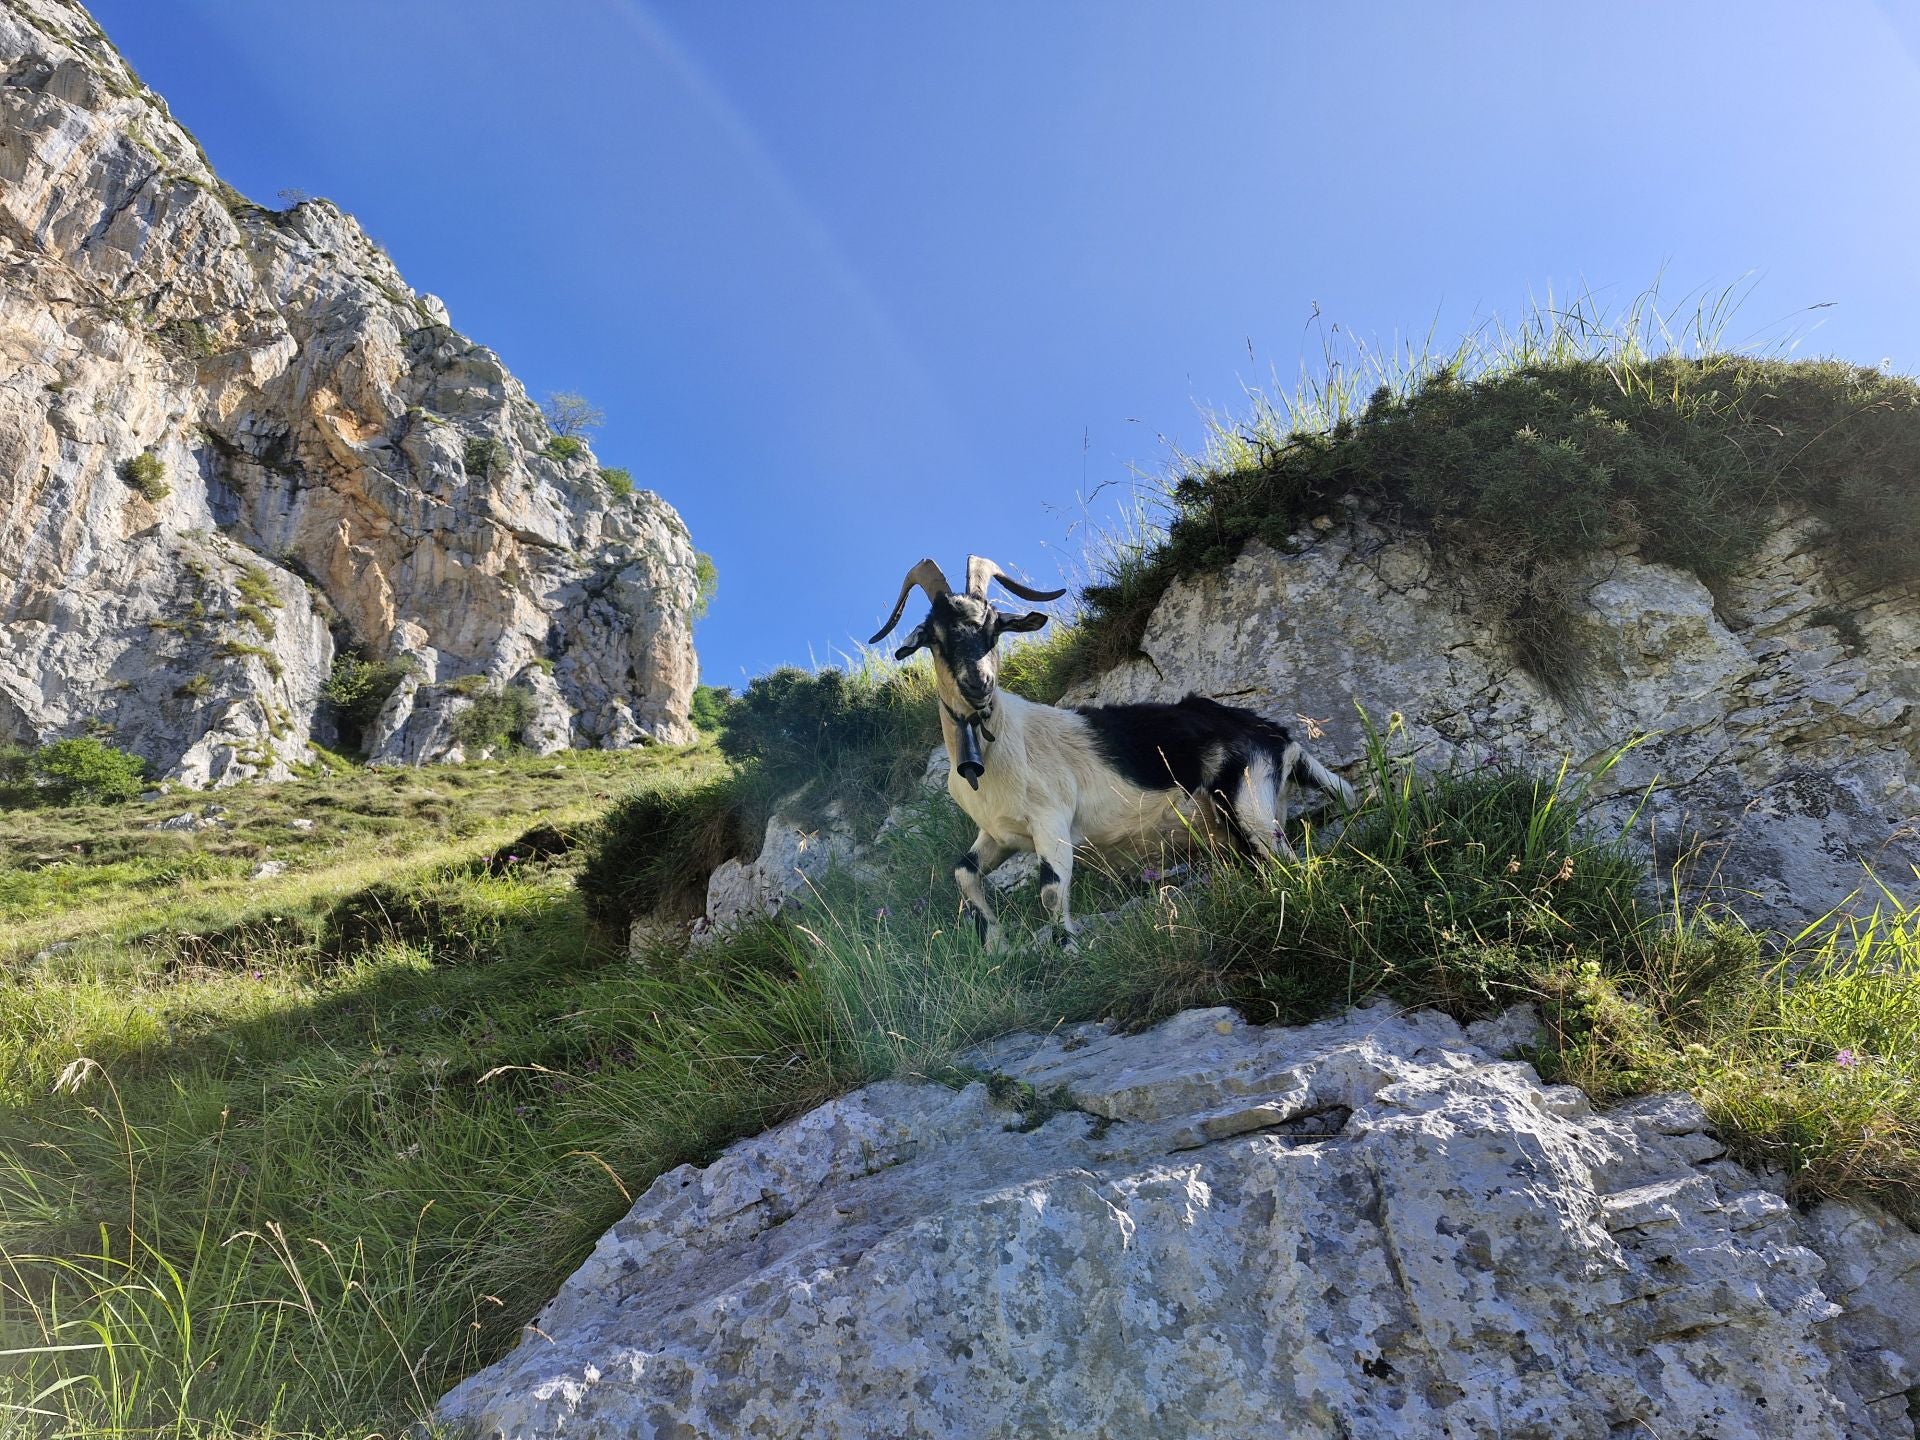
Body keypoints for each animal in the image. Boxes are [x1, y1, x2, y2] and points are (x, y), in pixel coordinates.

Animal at [871, 556, 1351, 952]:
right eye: (935, 636)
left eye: (995, 626)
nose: (979, 684)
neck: (998, 745)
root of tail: (1277, 735)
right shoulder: (999, 834)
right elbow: (963, 872)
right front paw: (996, 947)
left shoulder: (1052, 820)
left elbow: (1050, 890)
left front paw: (1068, 950)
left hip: (1249, 801)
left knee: (1287, 861)